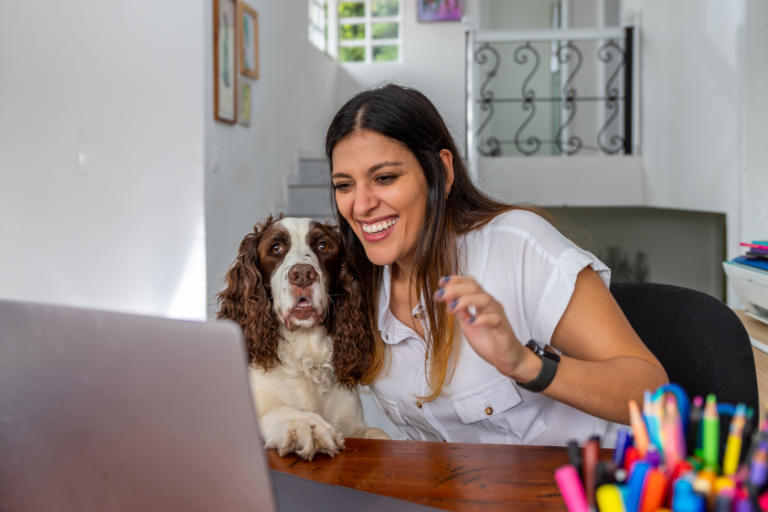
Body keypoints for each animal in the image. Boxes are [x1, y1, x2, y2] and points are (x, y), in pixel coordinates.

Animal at [214, 215, 388, 460]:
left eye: (323, 246)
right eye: (276, 248)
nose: (304, 275)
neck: (305, 355)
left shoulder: (354, 425)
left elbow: (378, 433)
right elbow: (279, 410)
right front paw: (306, 425)